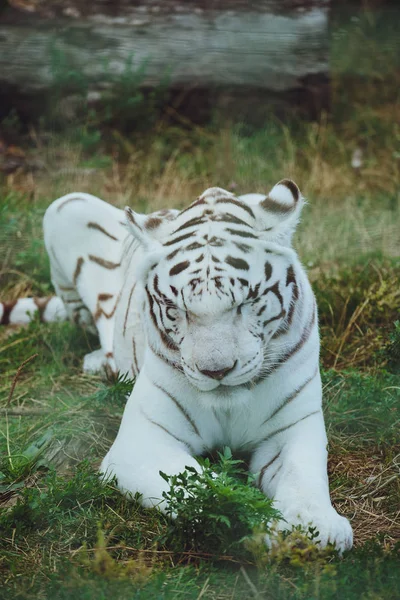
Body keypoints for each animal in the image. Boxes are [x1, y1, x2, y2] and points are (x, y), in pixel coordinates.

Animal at [2, 180, 354, 552]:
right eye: (177, 308)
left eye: (245, 303)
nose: (216, 371)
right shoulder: (143, 439)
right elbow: (205, 490)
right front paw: (256, 524)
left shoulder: (293, 427)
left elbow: (303, 475)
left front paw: (314, 529)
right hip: (66, 206)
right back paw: (102, 362)